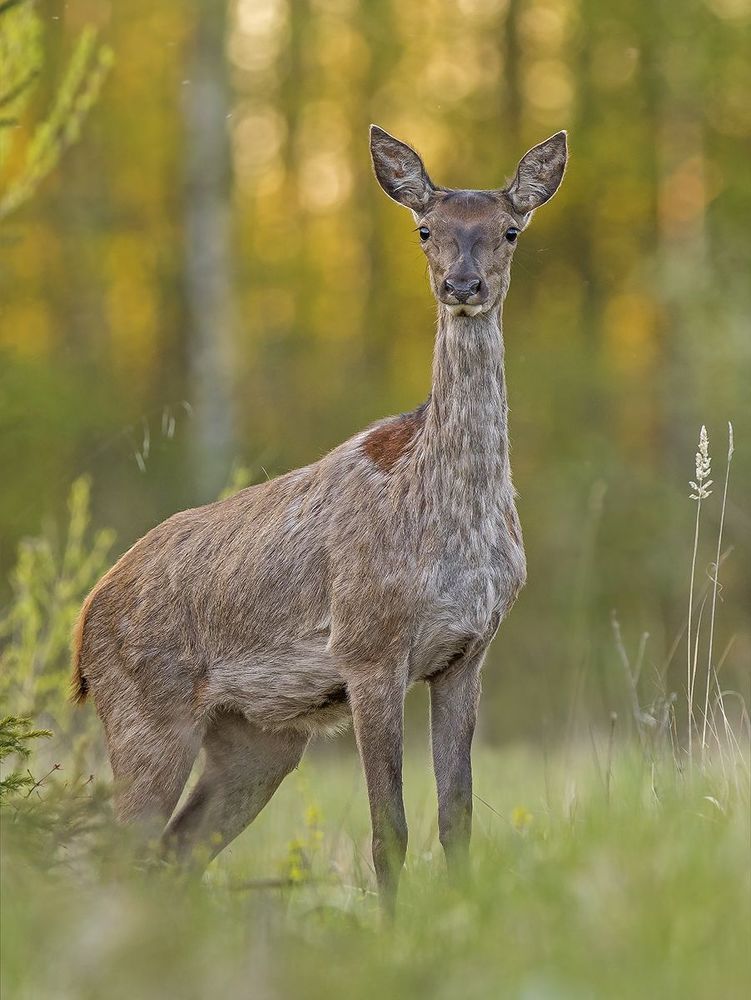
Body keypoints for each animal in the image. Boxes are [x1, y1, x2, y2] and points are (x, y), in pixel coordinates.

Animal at [72, 125, 568, 913]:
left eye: (510, 230)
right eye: (424, 229)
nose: (462, 286)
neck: (452, 527)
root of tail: (82, 627)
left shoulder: (467, 654)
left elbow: (455, 820)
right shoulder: (368, 646)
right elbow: (388, 829)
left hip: (259, 737)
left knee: (175, 853)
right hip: (145, 710)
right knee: (120, 861)